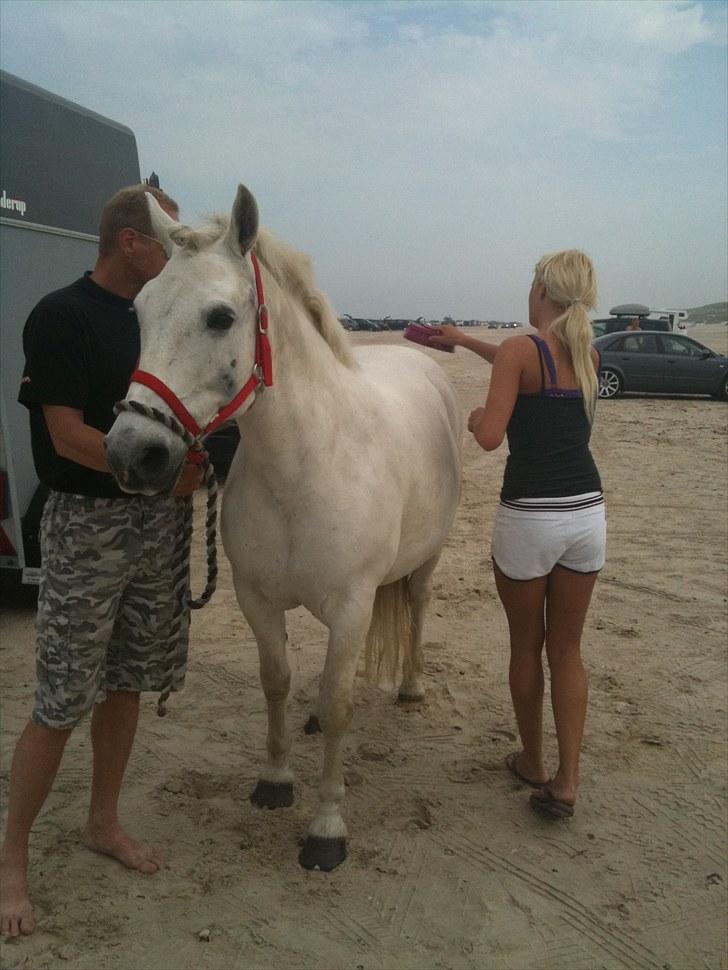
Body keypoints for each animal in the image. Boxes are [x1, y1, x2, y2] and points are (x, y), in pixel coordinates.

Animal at [104, 183, 460, 868]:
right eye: (138, 310)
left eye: (220, 317)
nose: (133, 452)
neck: (305, 461)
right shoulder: (258, 599)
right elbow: (278, 683)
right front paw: (275, 781)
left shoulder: (352, 603)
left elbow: (340, 701)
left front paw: (327, 826)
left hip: (424, 565)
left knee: (419, 606)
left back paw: (410, 686)